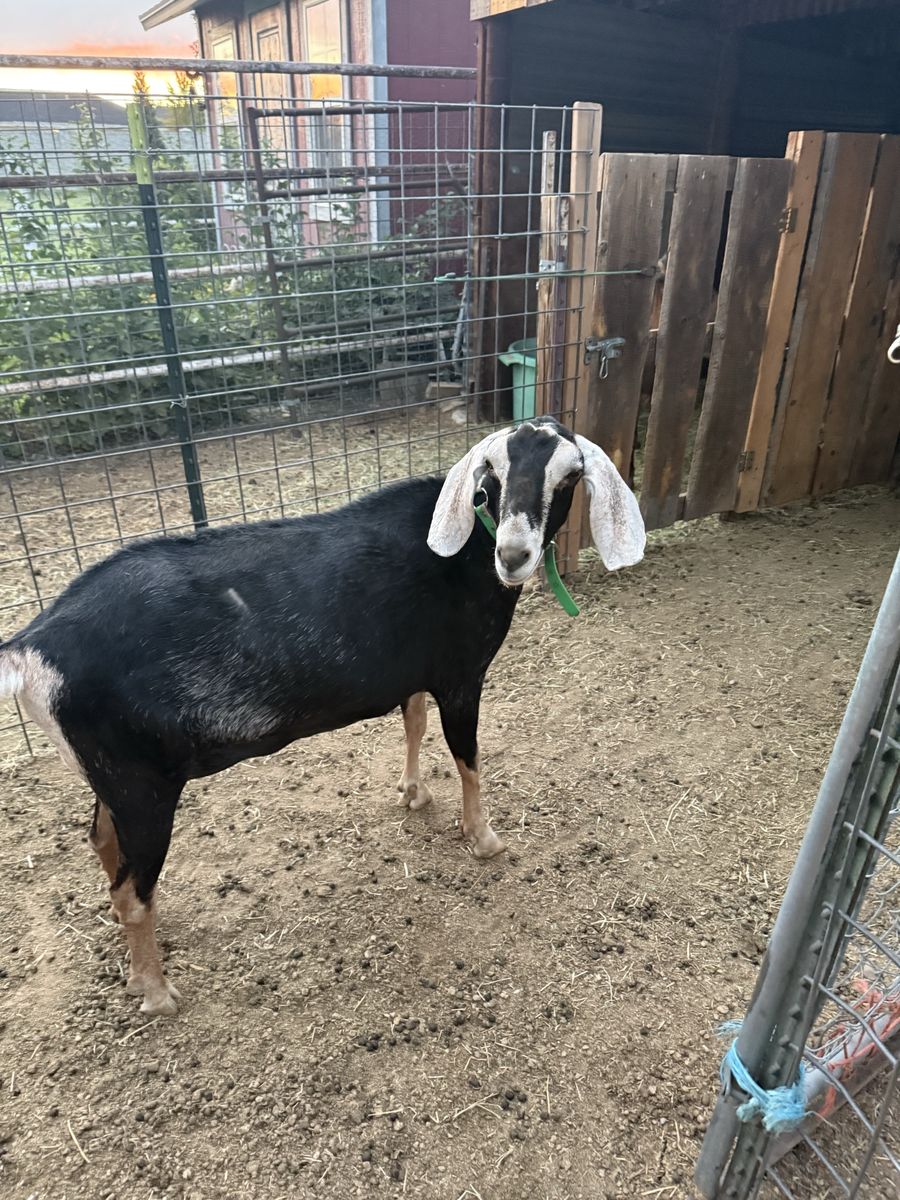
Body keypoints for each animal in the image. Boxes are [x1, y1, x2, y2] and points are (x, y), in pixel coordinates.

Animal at [0, 417, 645, 1016]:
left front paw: (413, 794)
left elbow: (413, 723)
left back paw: (141, 958)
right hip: (142, 785)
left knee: (104, 846)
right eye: (492, 475)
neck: (464, 554)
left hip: (114, 774)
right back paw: (156, 992)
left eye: (568, 477)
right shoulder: (462, 677)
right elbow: (468, 757)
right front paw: (484, 838)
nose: (513, 556)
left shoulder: (412, 671)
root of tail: (30, 646)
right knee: (131, 890)